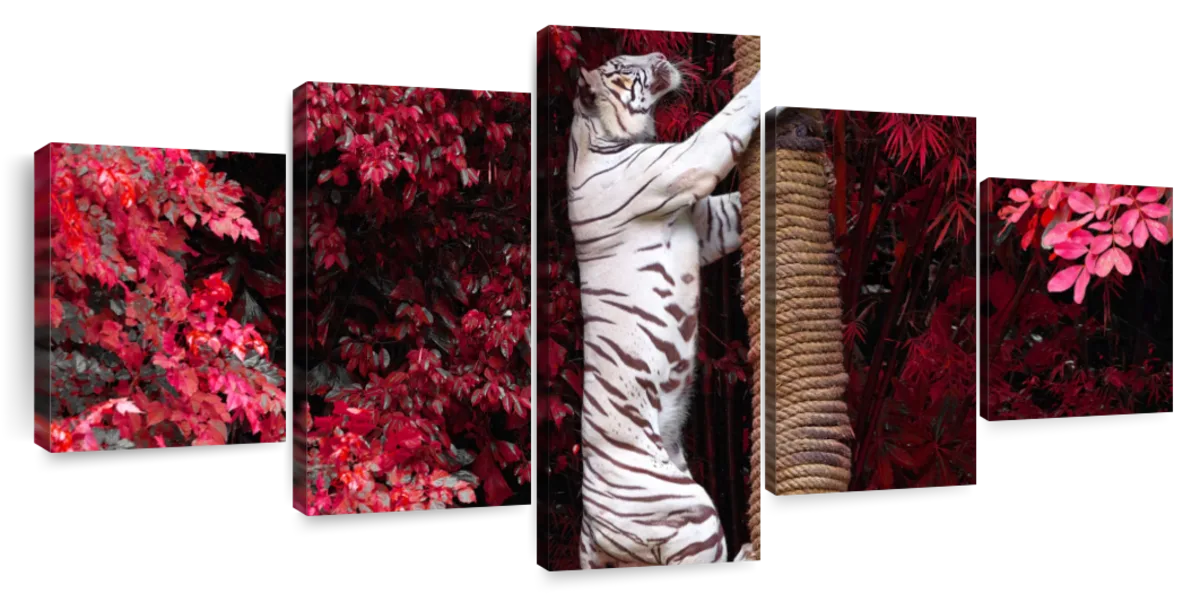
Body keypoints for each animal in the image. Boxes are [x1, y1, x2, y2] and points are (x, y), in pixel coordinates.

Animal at [566, 51, 767, 569]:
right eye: (624, 66)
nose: (658, 56)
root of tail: (589, 531)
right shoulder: (683, 164)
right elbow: (730, 118)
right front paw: (762, 79)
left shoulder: (706, 222)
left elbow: (734, 205)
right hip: (688, 509)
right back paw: (750, 548)